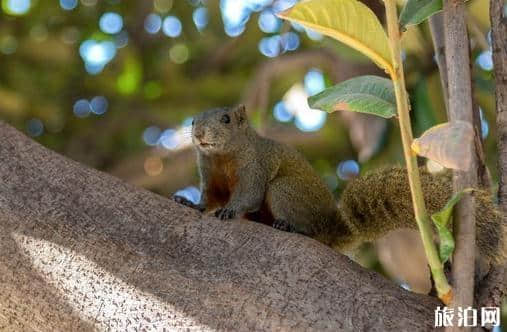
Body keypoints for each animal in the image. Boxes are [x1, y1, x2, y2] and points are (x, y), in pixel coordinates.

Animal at [173, 106, 506, 270]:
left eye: (226, 119)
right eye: (192, 120)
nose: (198, 133)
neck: (222, 157)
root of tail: (329, 224)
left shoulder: (255, 166)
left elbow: (249, 195)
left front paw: (231, 211)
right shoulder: (210, 176)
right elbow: (209, 198)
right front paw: (192, 204)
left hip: (285, 190)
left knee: (302, 223)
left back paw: (290, 226)